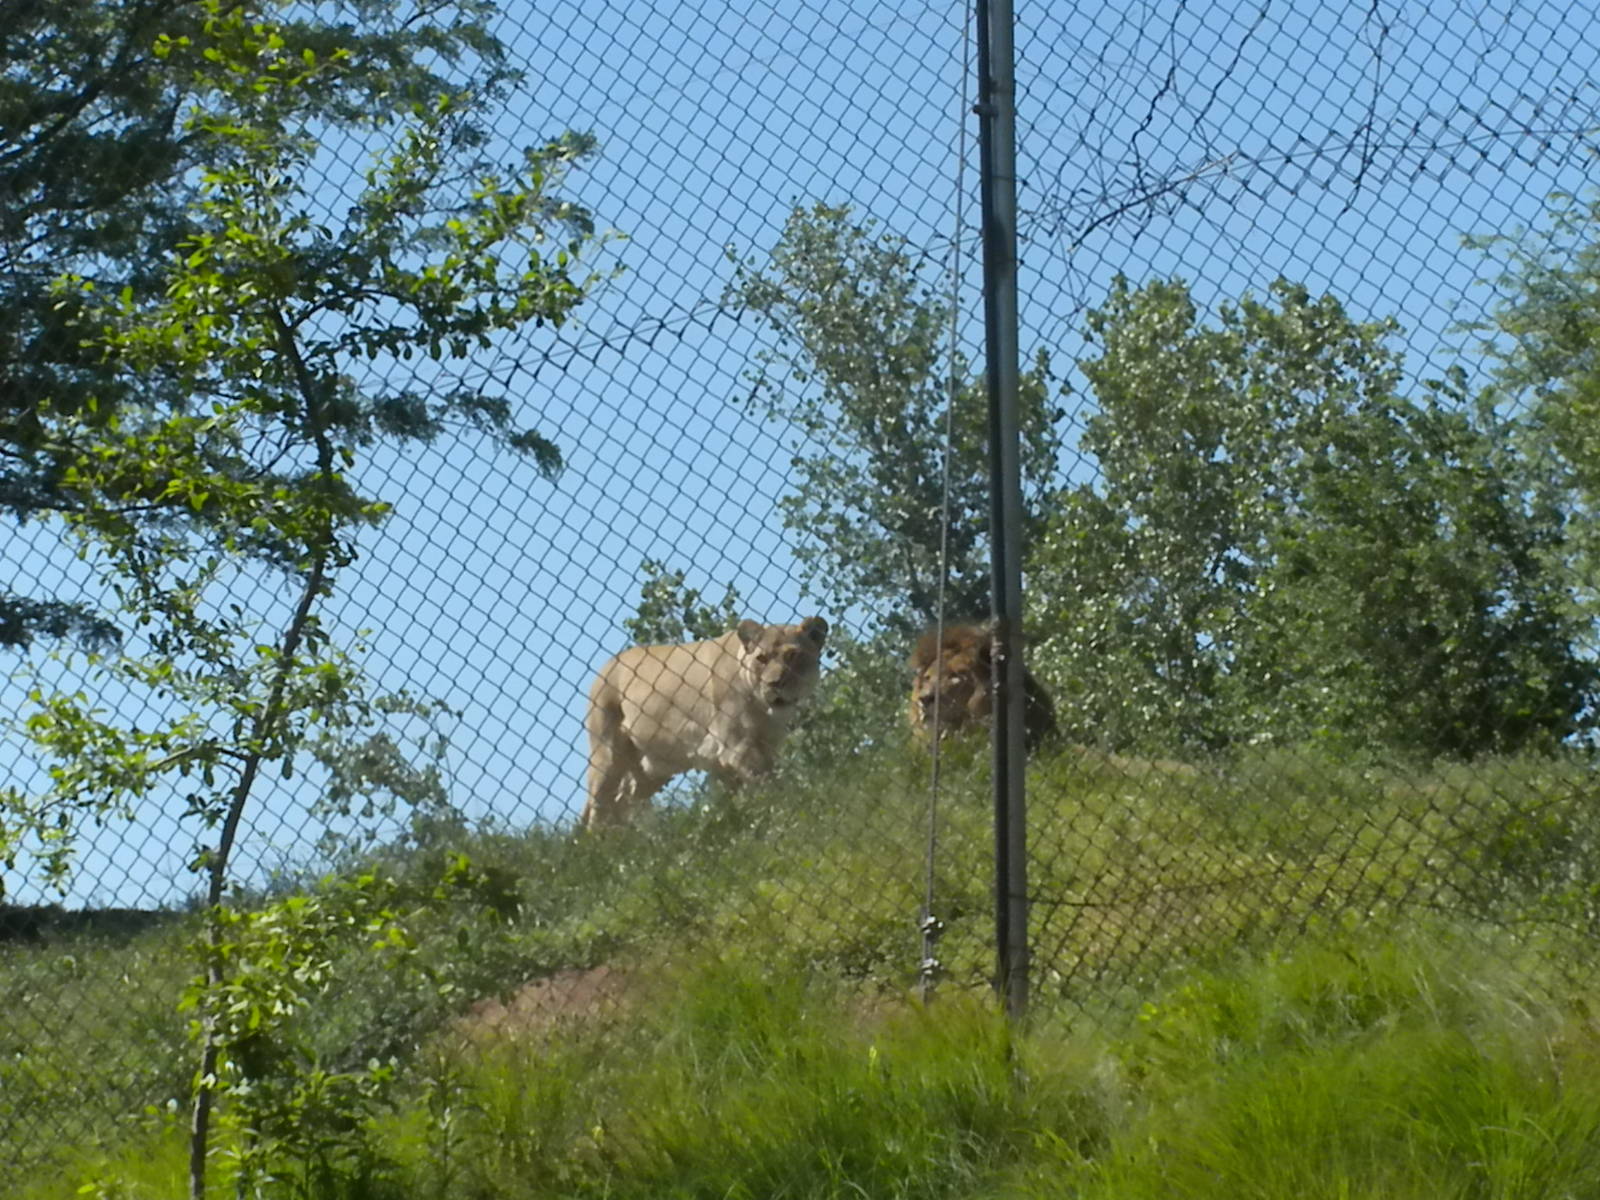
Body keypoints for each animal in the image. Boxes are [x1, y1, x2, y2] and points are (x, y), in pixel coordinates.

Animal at [582, 616, 829, 829]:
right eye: (762, 659)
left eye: (793, 655)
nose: (774, 683)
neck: (764, 709)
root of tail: (606, 666)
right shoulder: (738, 747)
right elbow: (768, 784)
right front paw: (787, 807)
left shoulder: (752, 751)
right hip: (607, 757)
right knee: (599, 808)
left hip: (649, 772)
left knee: (623, 801)